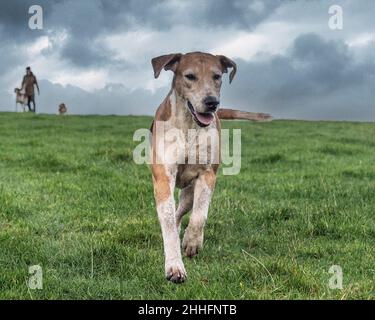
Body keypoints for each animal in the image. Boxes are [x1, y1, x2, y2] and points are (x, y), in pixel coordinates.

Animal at [151, 52, 272, 282]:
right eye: (190, 76)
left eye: (217, 76)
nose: (211, 102)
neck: (189, 125)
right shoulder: (163, 175)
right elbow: (168, 219)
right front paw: (174, 266)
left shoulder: (207, 174)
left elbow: (200, 214)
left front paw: (192, 241)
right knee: (174, 215)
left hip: (188, 192)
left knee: (185, 210)